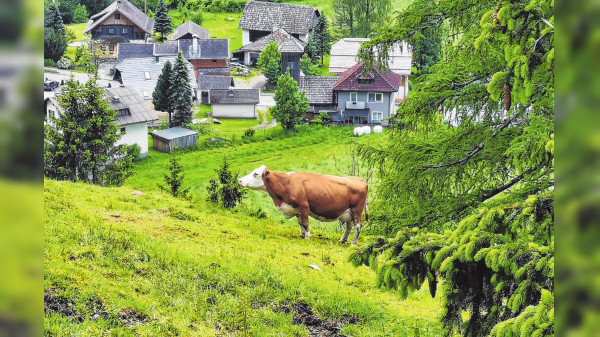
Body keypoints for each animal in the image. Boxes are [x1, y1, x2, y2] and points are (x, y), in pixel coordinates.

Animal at [238, 165, 368, 244]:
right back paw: (343, 240)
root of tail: (360, 179)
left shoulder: (304, 206)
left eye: (255, 173)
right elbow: (300, 222)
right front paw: (302, 234)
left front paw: (307, 236)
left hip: (357, 210)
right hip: (348, 213)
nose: (239, 180)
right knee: (349, 226)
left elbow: (305, 223)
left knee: (358, 225)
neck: (286, 183)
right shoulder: (296, 209)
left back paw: (353, 243)